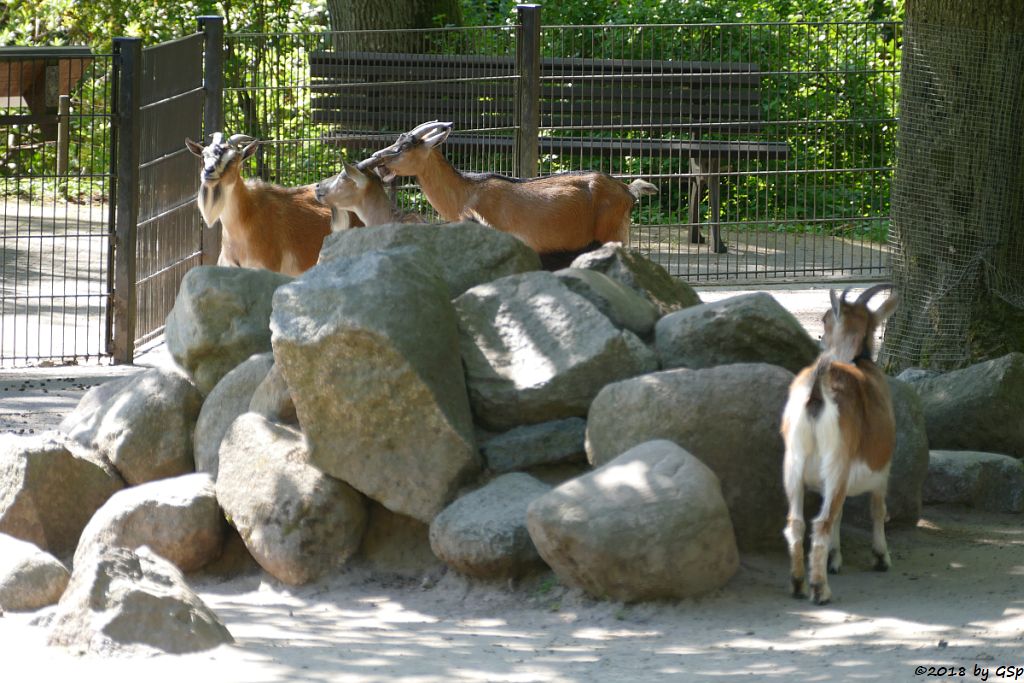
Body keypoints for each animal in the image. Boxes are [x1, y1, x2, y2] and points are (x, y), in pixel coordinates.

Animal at [778, 286, 901, 606]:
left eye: (824, 320)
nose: (821, 340)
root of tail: (818, 389)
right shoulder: (882, 471)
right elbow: (876, 509)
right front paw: (881, 557)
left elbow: (839, 516)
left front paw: (835, 559)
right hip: (835, 465)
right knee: (820, 523)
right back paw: (820, 590)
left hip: (793, 465)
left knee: (797, 522)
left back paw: (798, 584)